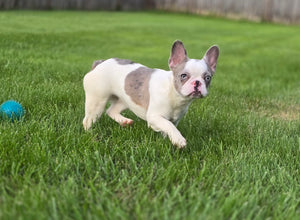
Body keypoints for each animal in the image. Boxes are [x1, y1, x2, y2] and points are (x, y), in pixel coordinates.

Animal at [83, 41, 219, 148]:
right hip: (97, 101)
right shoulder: (155, 117)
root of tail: (99, 63)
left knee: (111, 110)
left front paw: (168, 141)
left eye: (208, 78)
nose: (197, 82)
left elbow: (169, 128)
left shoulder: (175, 119)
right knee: (89, 119)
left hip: (126, 100)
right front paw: (179, 140)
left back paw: (124, 122)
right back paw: (90, 134)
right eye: (183, 76)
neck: (173, 94)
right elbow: (168, 125)